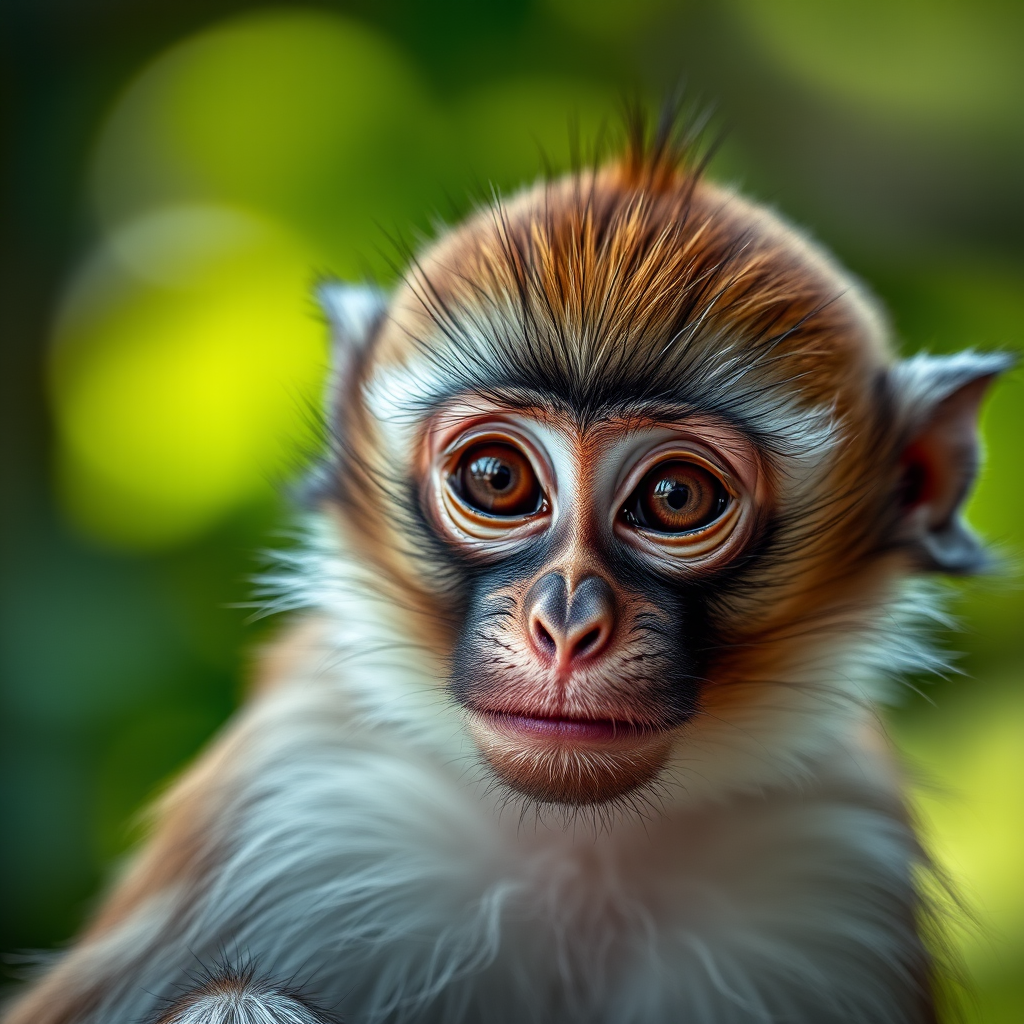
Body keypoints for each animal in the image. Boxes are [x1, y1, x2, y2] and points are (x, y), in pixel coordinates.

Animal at [2, 107, 1009, 1024]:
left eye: (676, 497)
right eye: (497, 478)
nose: (565, 623)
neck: (581, 853)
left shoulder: (840, 855)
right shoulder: (297, 783)